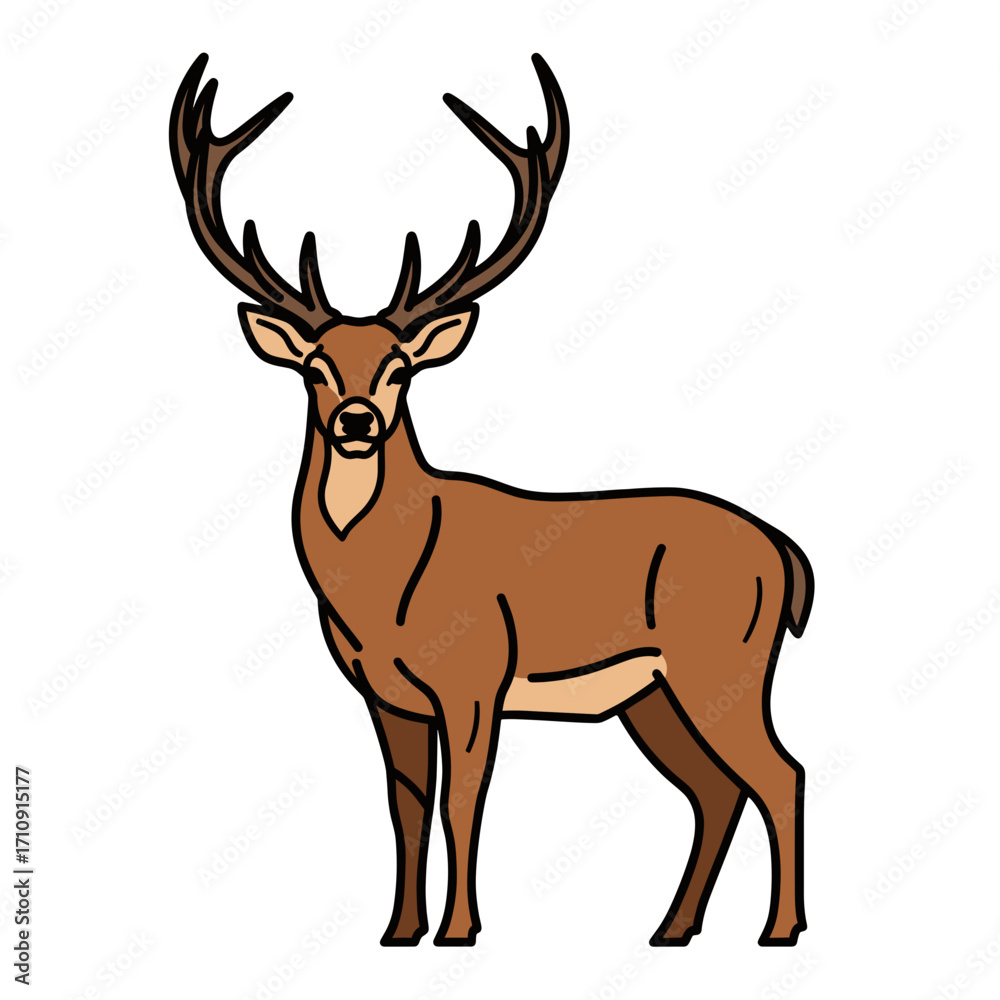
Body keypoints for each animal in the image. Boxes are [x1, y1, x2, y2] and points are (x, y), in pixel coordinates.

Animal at [170, 52, 815, 948]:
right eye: (317, 366)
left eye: (400, 367)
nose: (357, 421)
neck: (383, 590)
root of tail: (785, 553)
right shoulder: (386, 695)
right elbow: (404, 808)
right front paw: (398, 932)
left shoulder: (475, 675)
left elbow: (463, 804)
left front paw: (461, 931)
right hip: (653, 694)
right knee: (716, 789)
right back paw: (671, 929)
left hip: (725, 659)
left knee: (780, 773)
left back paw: (779, 930)